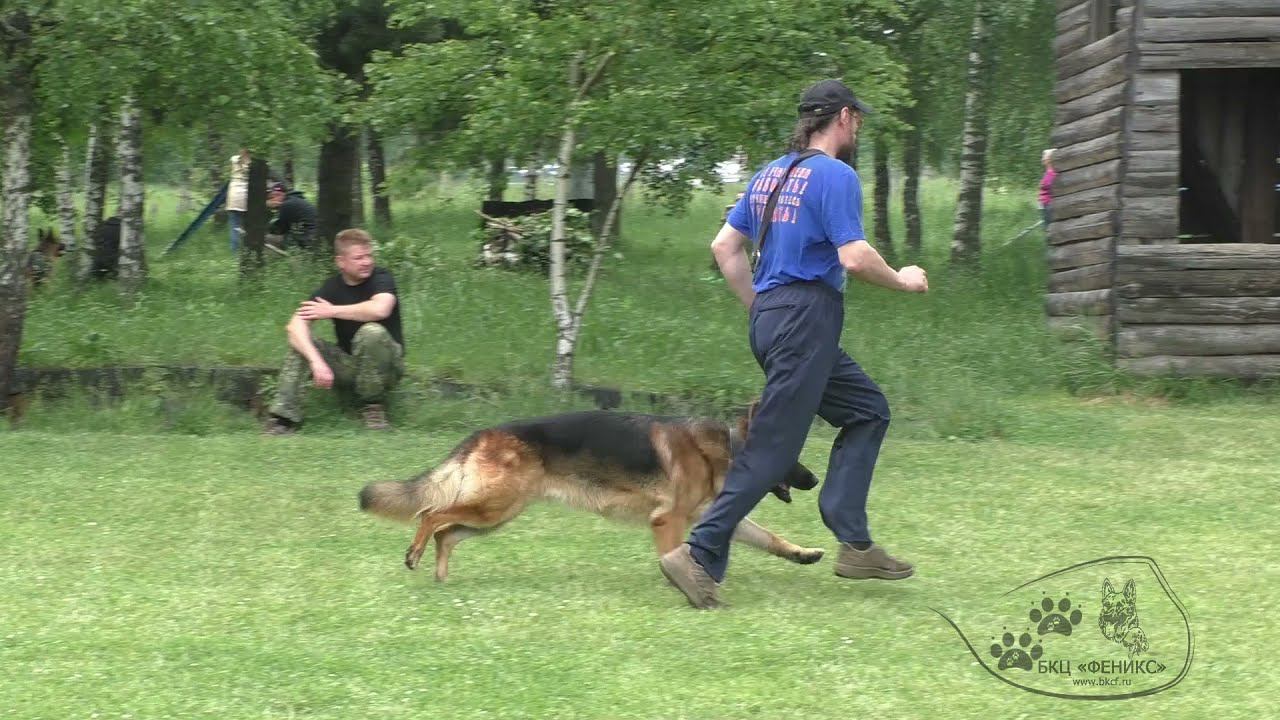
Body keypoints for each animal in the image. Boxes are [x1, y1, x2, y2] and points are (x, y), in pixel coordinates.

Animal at [355, 409, 824, 576]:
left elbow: (770, 538)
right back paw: (415, 555)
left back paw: (441, 578)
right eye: (794, 457)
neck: (729, 449)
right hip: (492, 509)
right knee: (431, 515)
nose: (815, 480)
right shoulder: (666, 520)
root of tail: (484, 433)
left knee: (445, 533)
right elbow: (674, 554)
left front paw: (803, 553)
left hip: (494, 516)